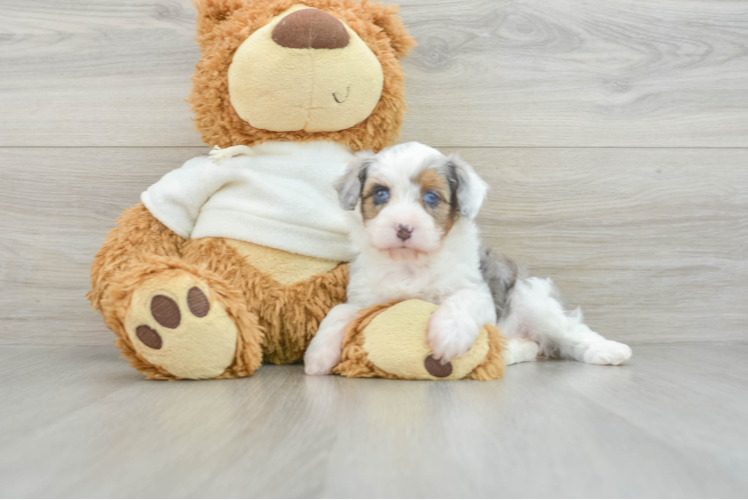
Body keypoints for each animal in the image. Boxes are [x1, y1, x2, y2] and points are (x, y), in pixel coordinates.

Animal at [304, 142, 632, 376]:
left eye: (432, 197)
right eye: (381, 194)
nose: (403, 228)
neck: (410, 263)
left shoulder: (477, 290)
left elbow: (463, 300)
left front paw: (449, 334)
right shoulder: (365, 299)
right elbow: (339, 312)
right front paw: (318, 354)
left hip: (535, 303)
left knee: (572, 332)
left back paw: (610, 351)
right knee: (531, 345)